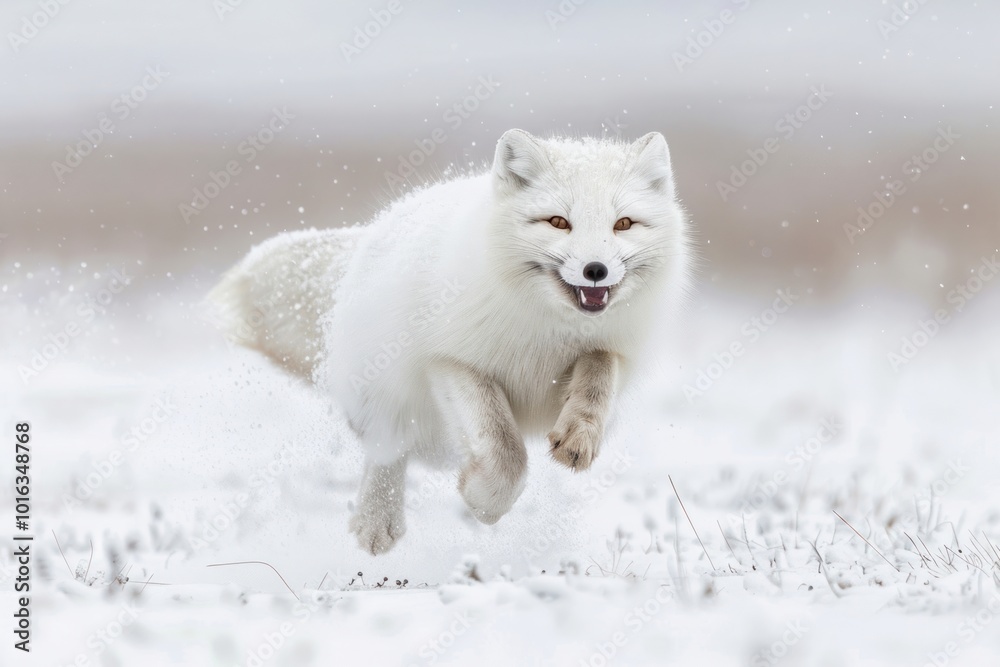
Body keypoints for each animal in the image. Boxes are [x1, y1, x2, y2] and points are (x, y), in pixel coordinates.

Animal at [207, 129, 692, 555]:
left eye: (623, 224)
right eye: (558, 222)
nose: (596, 270)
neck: (546, 331)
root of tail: (370, 234)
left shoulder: (611, 350)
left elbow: (597, 377)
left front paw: (579, 435)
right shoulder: (449, 362)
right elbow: (505, 450)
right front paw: (484, 501)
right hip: (393, 397)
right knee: (387, 448)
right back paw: (376, 524)